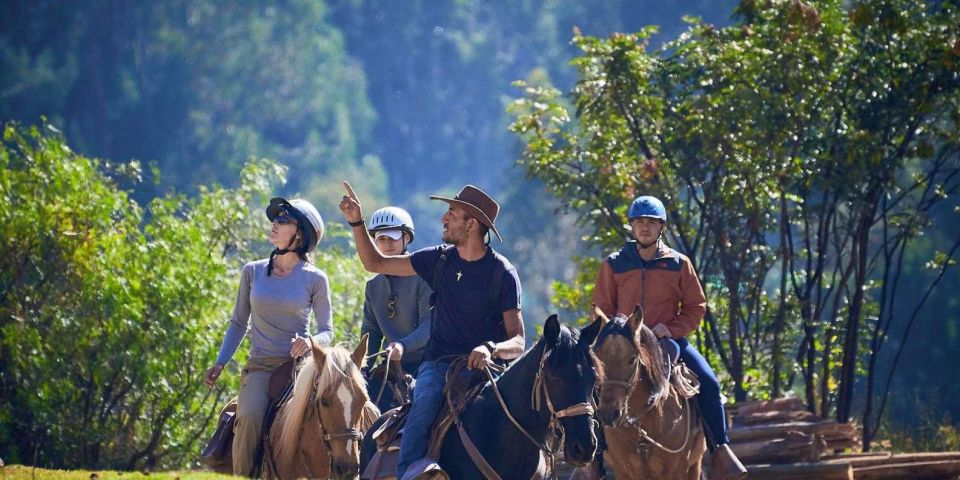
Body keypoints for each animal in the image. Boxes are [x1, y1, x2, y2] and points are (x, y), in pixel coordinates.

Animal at [588, 310, 708, 480]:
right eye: (597, 359)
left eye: (632, 358)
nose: (608, 414)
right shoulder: (623, 470)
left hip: (695, 465)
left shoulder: (677, 471)